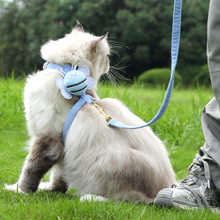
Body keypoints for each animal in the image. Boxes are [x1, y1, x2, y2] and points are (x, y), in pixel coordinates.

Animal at [4, 21, 176, 204]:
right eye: (107, 57)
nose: (109, 63)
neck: (62, 70)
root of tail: (160, 192)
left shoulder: (47, 139)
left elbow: (30, 170)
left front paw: (18, 190)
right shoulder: (62, 147)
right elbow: (58, 177)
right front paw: (50, 189)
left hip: (109, 161)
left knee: (126, 200)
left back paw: (90, 198)